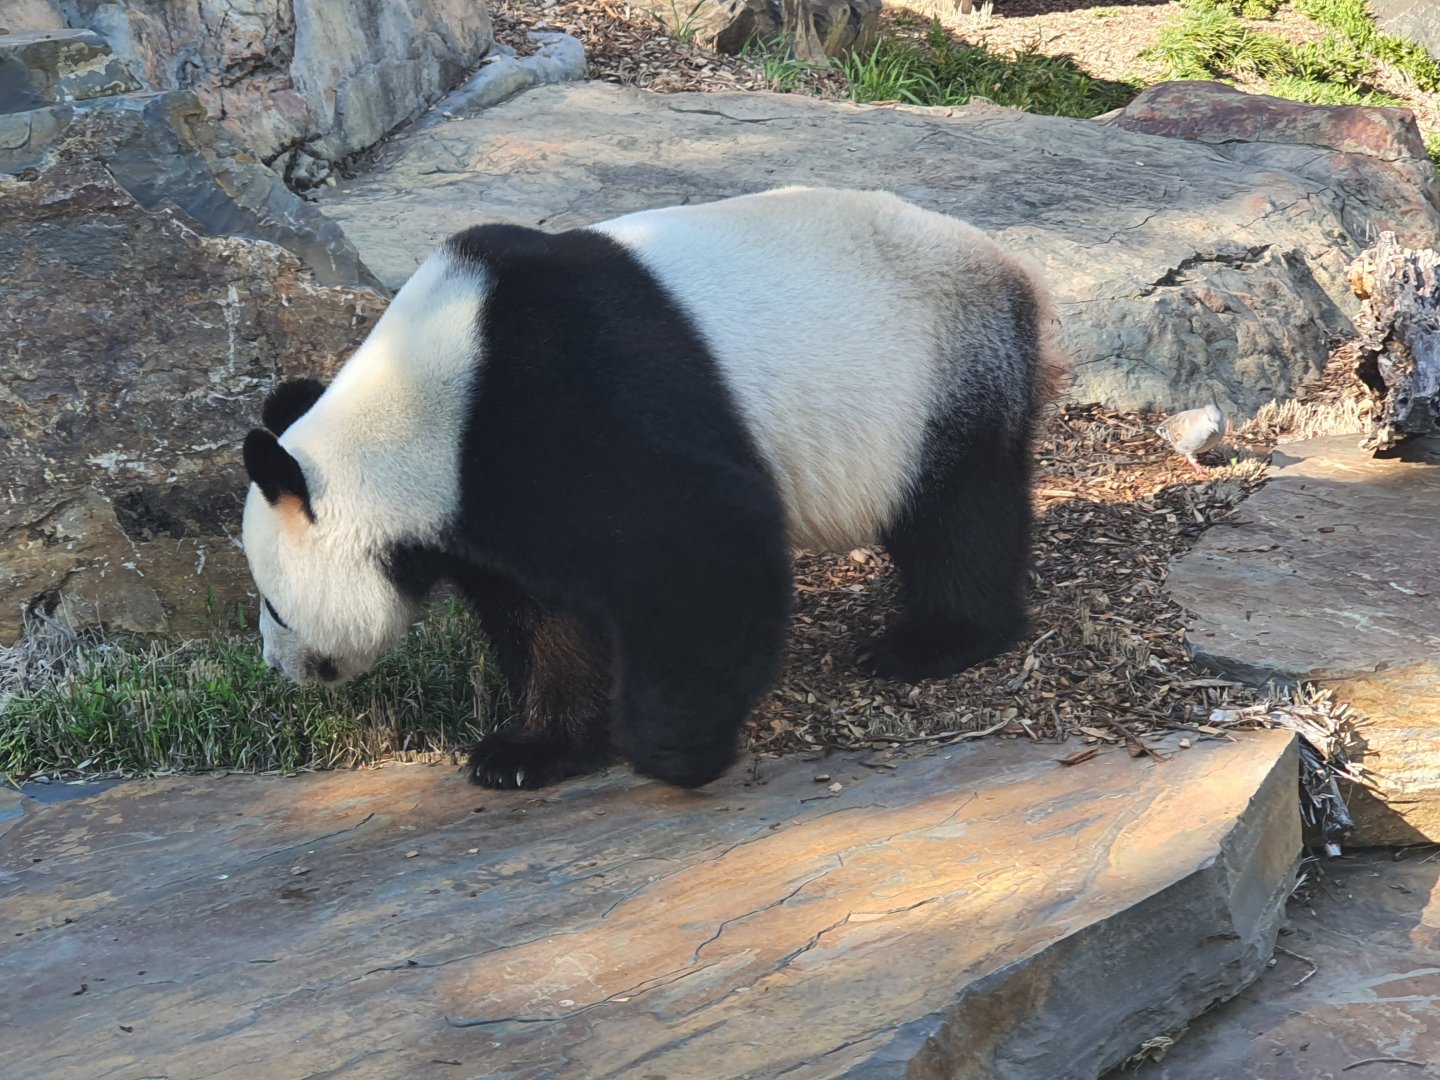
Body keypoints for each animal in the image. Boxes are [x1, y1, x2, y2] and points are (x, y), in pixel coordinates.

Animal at [240, 186, 1067, 792]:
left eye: (275, 606)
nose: (280, 670)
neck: (418, 409)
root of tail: (1020, 274)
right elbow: (548, 617)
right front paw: (527, 751)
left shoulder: (566, 401)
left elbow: (705, 540)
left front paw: (674, 749)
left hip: (938, 375)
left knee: (958, 516)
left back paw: (933, 640)